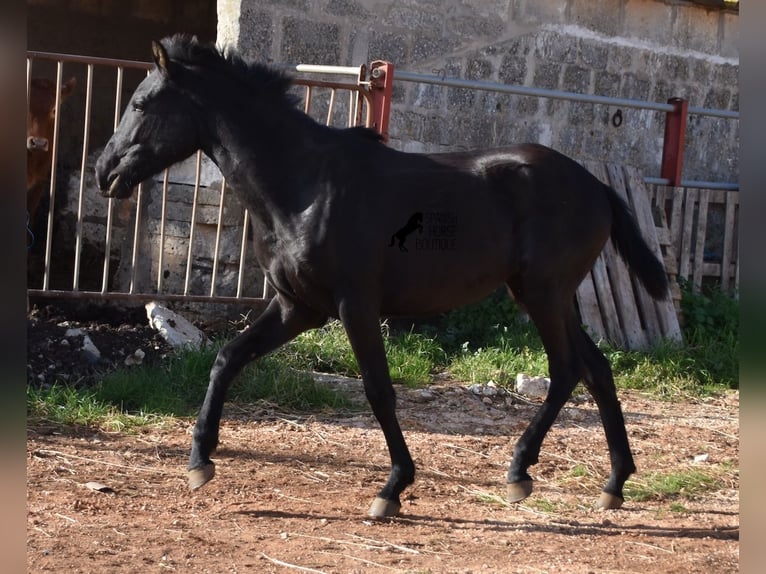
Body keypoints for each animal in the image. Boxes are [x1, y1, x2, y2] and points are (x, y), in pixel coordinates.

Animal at [97, 36, 672, 520]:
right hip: (548, 295)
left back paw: (519, 472)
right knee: (596, 370)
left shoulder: (355, 304)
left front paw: (392, 488)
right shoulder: (297, 306)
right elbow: (227, 358)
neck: (305, 187)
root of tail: (597, 186)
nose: (106, 172)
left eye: (142, 105)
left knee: (567, 369)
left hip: (542, 293)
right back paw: (614, 483)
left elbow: (378, 389)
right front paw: (199, 462)